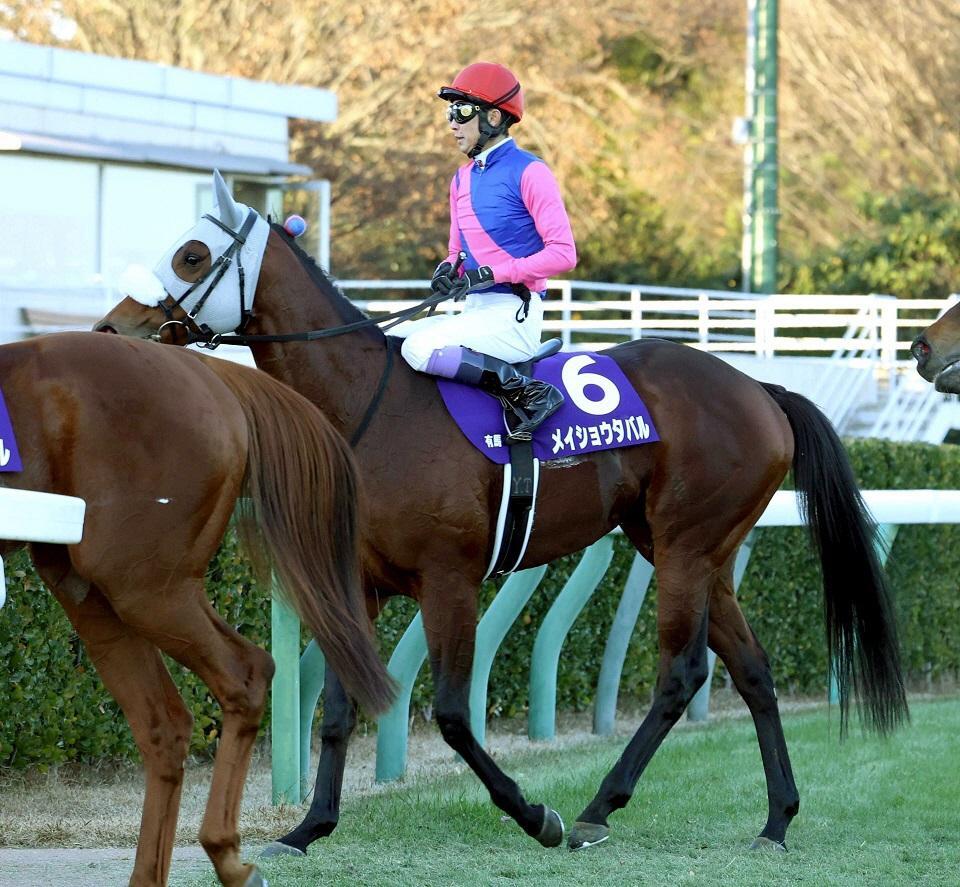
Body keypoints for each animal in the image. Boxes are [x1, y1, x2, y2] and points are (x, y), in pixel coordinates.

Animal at [0, 332, 394, 887]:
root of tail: (212, 371)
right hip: (91, 590)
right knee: (164, 722)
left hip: (143, 583)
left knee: (246, 672)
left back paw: (228, 854)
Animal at [95, 171, 908, 854]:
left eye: (192, 254)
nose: (111, 333)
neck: (368, 407)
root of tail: (760, 388)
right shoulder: (357, 581)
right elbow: (338, 705)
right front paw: (307, 828)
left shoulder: (448, 579)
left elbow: (455, 713)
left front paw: (535, 815)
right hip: (690, 549)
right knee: (753, 669)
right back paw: (777, 818)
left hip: (685, 546)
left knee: (681, 673)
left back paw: (595, 808)